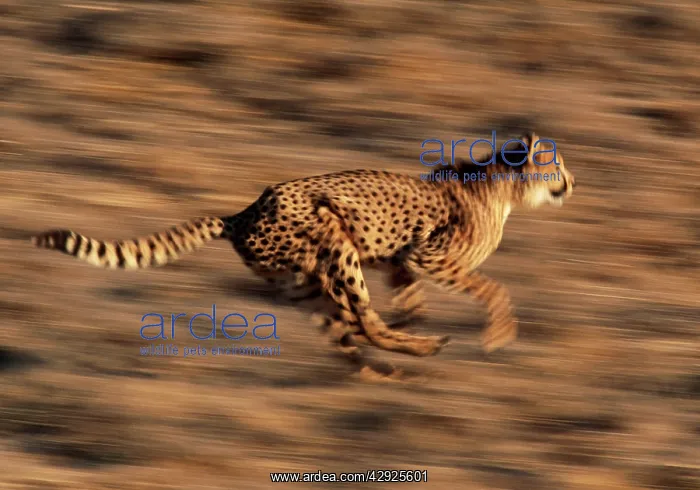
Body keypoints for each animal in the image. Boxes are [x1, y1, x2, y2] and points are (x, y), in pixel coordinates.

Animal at [32, 132, 575, 376]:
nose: (573, 183)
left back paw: (377, 369)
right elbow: (494, 289)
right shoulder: (429, 257)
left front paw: (413, 314)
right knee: (363, 321)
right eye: (559, 166)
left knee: (347, 330)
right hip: (334, 240)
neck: (501, 188)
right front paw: (498, 337)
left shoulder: (402, 262)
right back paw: (414, 350)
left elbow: (407, 294)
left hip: (302, 283)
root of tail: (243, 211)